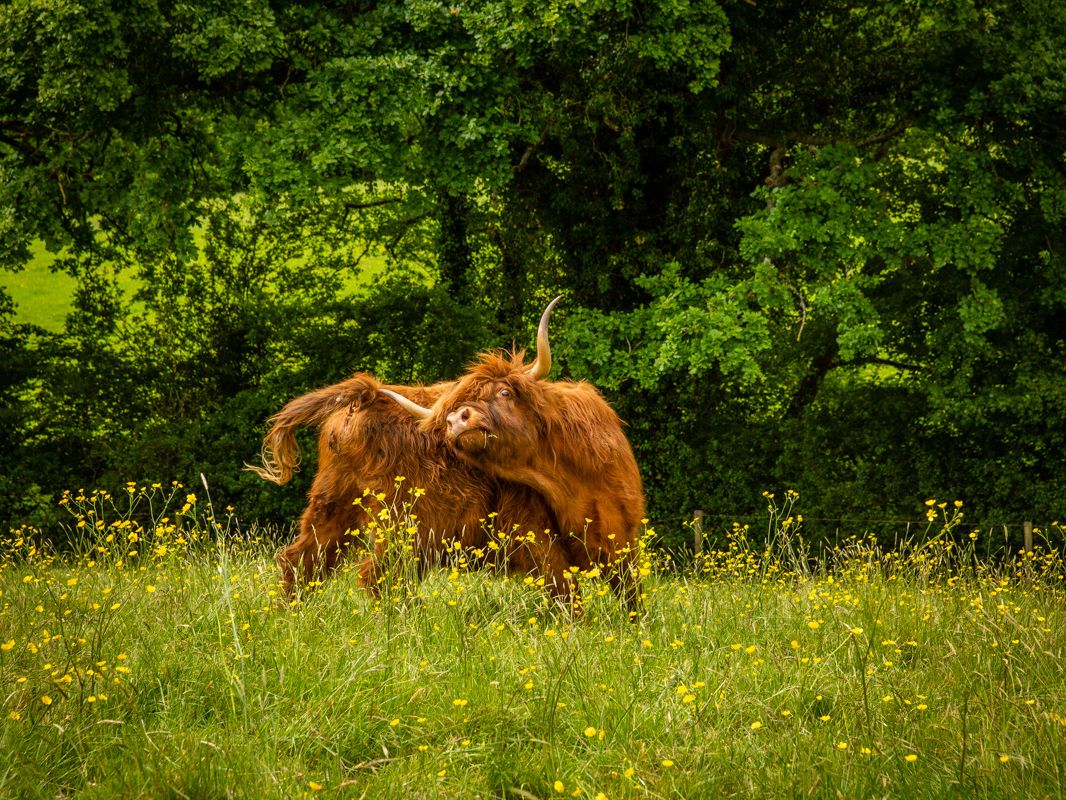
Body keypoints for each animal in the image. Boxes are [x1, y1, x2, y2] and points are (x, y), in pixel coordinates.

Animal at [247, 373, 578, 609]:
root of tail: (366, 397)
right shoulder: (530, 524)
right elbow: (558, 575)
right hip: (404, 525)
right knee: (377, 576)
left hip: (332, 504)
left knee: (301, 558)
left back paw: (290, 614)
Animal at [381, 298, 647, 617]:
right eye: (451, 413)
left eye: (505, 392)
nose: (456, 419)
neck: (568, 480)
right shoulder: (537, 537)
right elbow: (566, 592)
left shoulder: (622, 533)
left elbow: (630, 591)